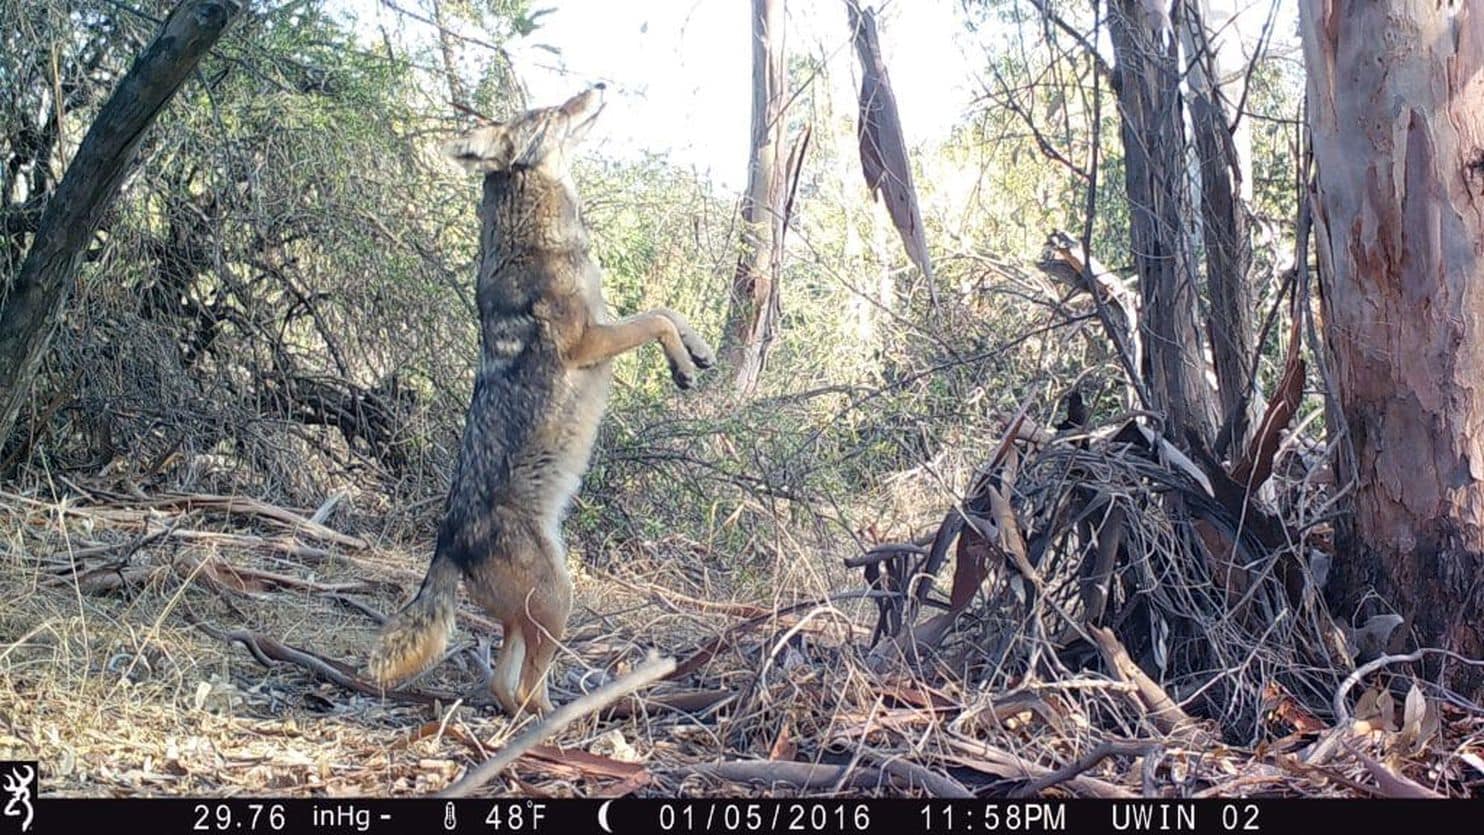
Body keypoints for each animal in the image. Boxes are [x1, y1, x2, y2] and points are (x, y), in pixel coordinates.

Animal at [367, 86, 714, 715]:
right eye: (555, 111)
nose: (598, 84)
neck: (545, 237)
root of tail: (446, 541)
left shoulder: (606, 321)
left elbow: (666, 310)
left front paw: (695, 353)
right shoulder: (590, 341)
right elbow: (654, 318)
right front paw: (681, 361)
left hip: (532, 610)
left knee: (504, 685)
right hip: (559, 599)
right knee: (526, 687)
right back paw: (568, 723)